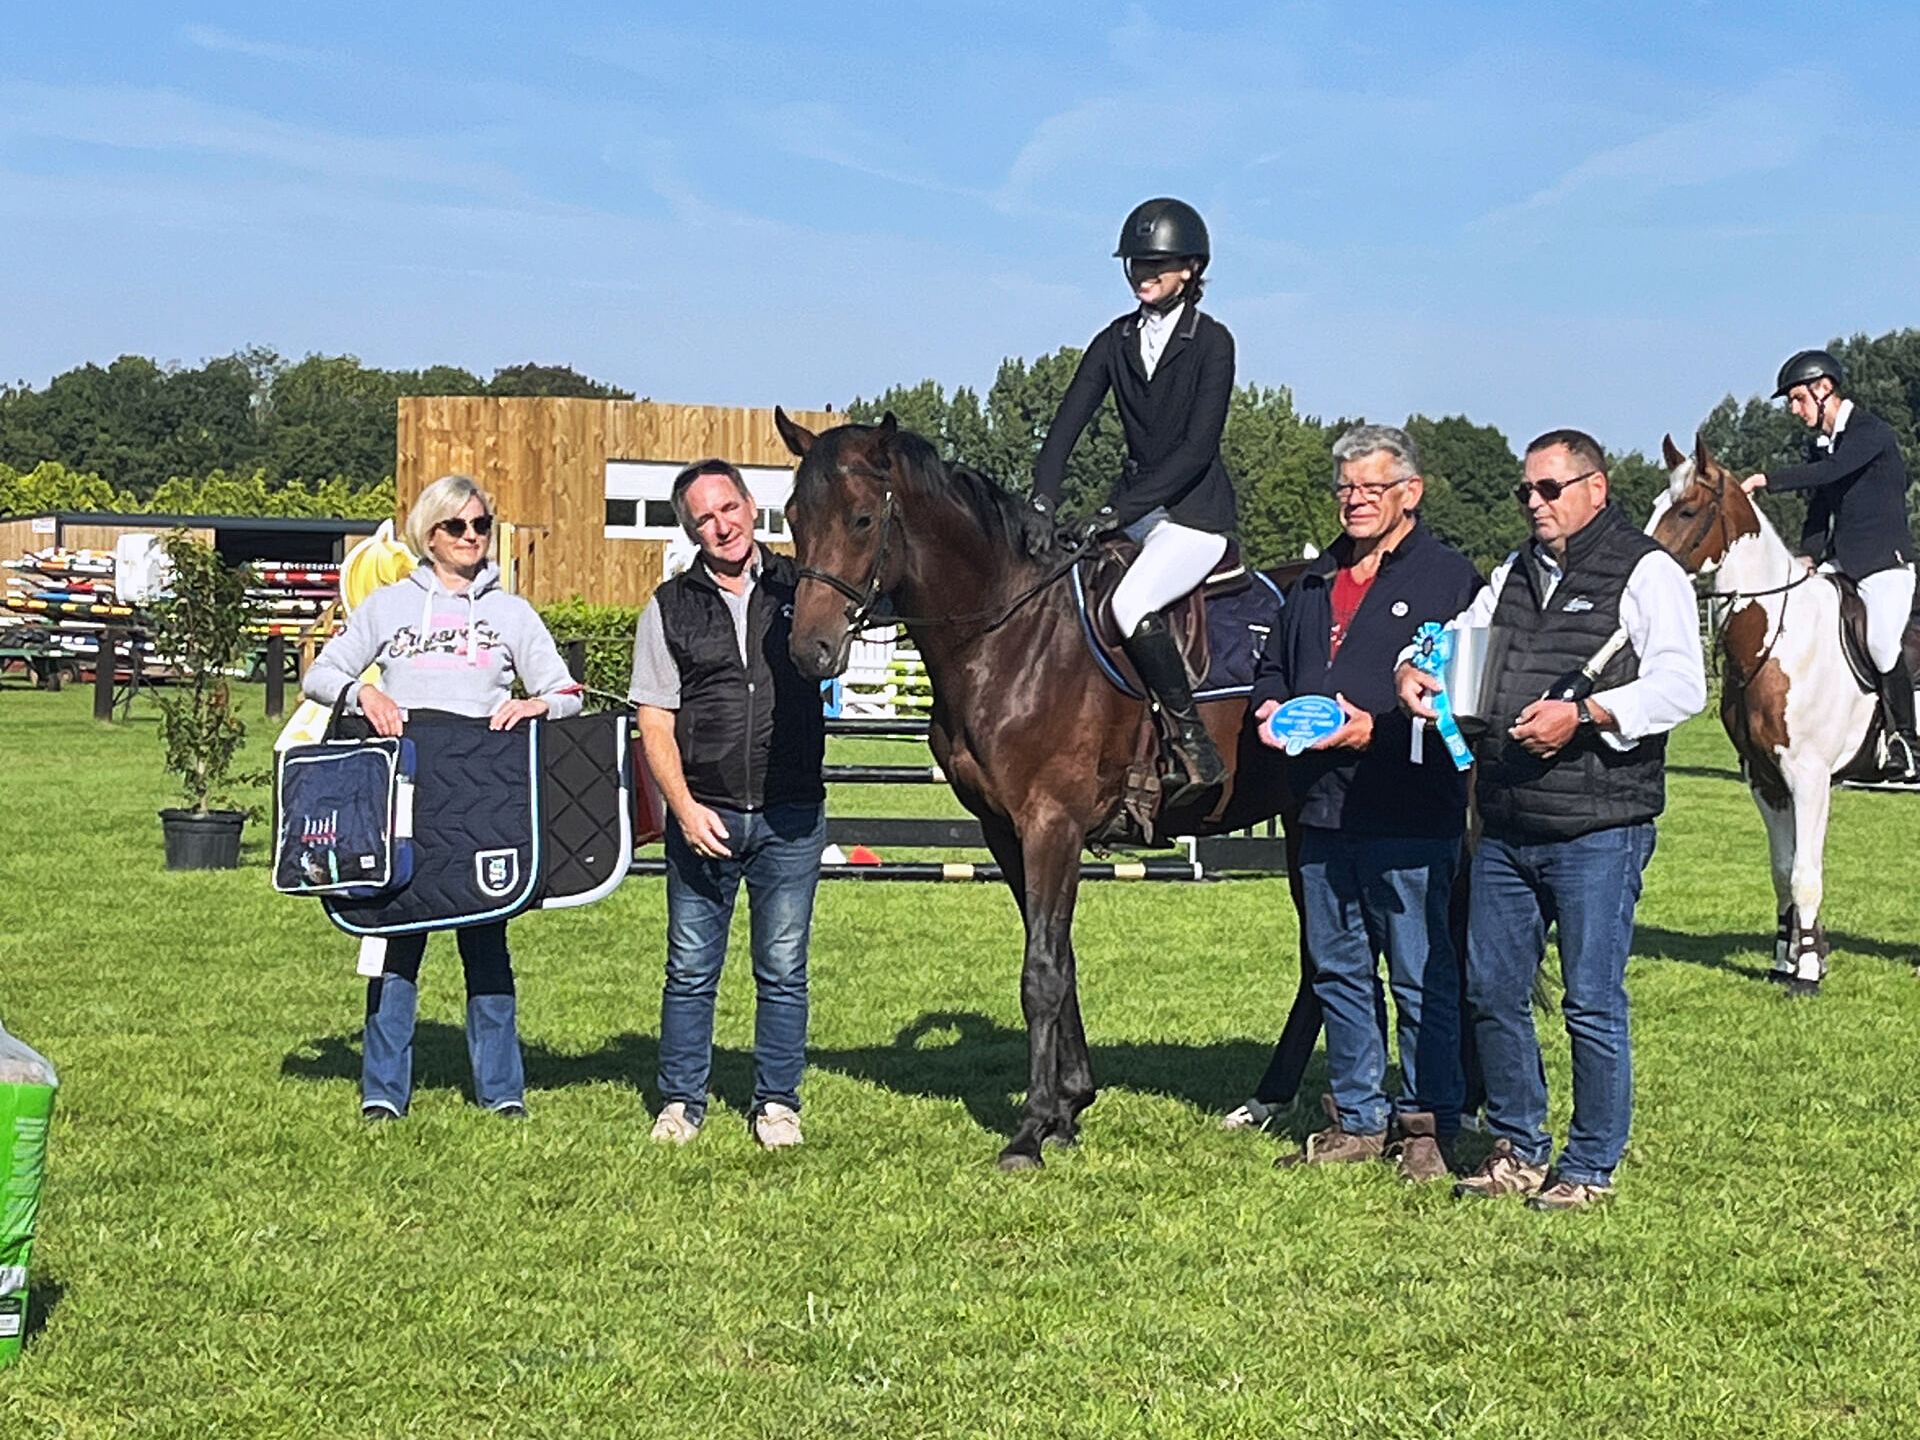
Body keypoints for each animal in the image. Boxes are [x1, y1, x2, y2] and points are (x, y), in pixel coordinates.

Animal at [774, 410, 1290, 1168]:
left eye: (864, 519)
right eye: (792, 518)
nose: (808, 653)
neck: (1009, 634)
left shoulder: (1053, 822)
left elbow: (1042, 970)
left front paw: (1031, 1129)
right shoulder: (1006, 829)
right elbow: (1061, 958)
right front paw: (1070, 1108)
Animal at [1646, 432, 1891, 995]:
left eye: (1687, 510)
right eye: (1654, 505)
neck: (1779, 635)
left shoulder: (1810, 777)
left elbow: (1806, 873)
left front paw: (1807, 974)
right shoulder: (1766, 779)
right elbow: (1783, 870)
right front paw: (1786, 961)